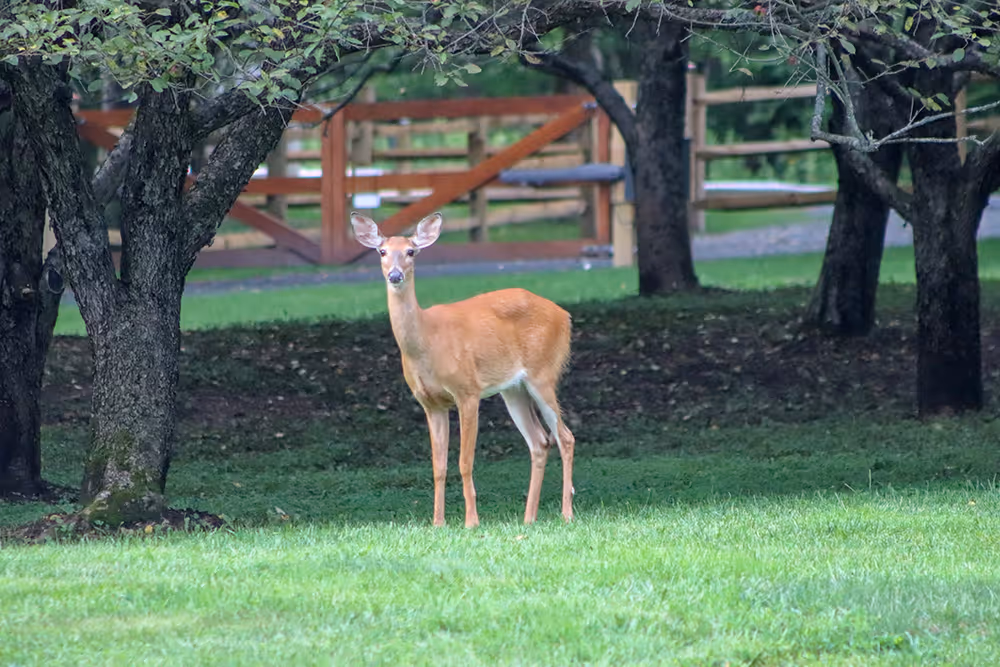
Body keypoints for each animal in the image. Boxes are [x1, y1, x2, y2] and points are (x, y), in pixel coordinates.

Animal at [351, 211, 576, 528]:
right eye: (382, 251)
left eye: (411, 251)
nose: (395, 275)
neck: (428, 341)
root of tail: (565, 316)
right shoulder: (430, 403)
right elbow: (439, 466)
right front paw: (437, 522)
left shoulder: (467, 391)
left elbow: (464, 461)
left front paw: (471, 521)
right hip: (513, 389)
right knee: (540, 441)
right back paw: (528, 518)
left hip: (543, 372)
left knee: (565, 436)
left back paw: (566, 513)